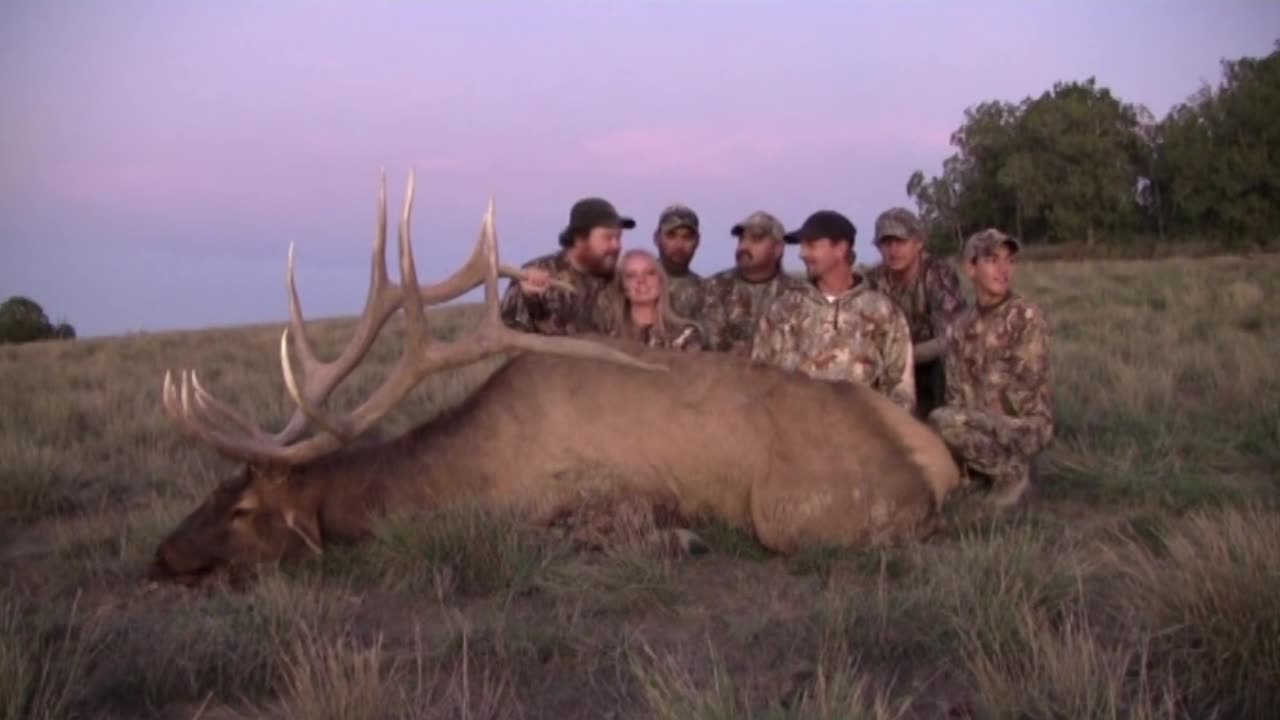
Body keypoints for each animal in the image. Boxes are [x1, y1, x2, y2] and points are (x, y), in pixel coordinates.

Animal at [149, 172, 962, 584]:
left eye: (243, 509)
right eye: (214, 490)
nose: (161, 555)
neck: (463, 476)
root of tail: (933, 468)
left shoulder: (611, 489)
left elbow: (573, 535)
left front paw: (682, 543)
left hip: (797, 509)